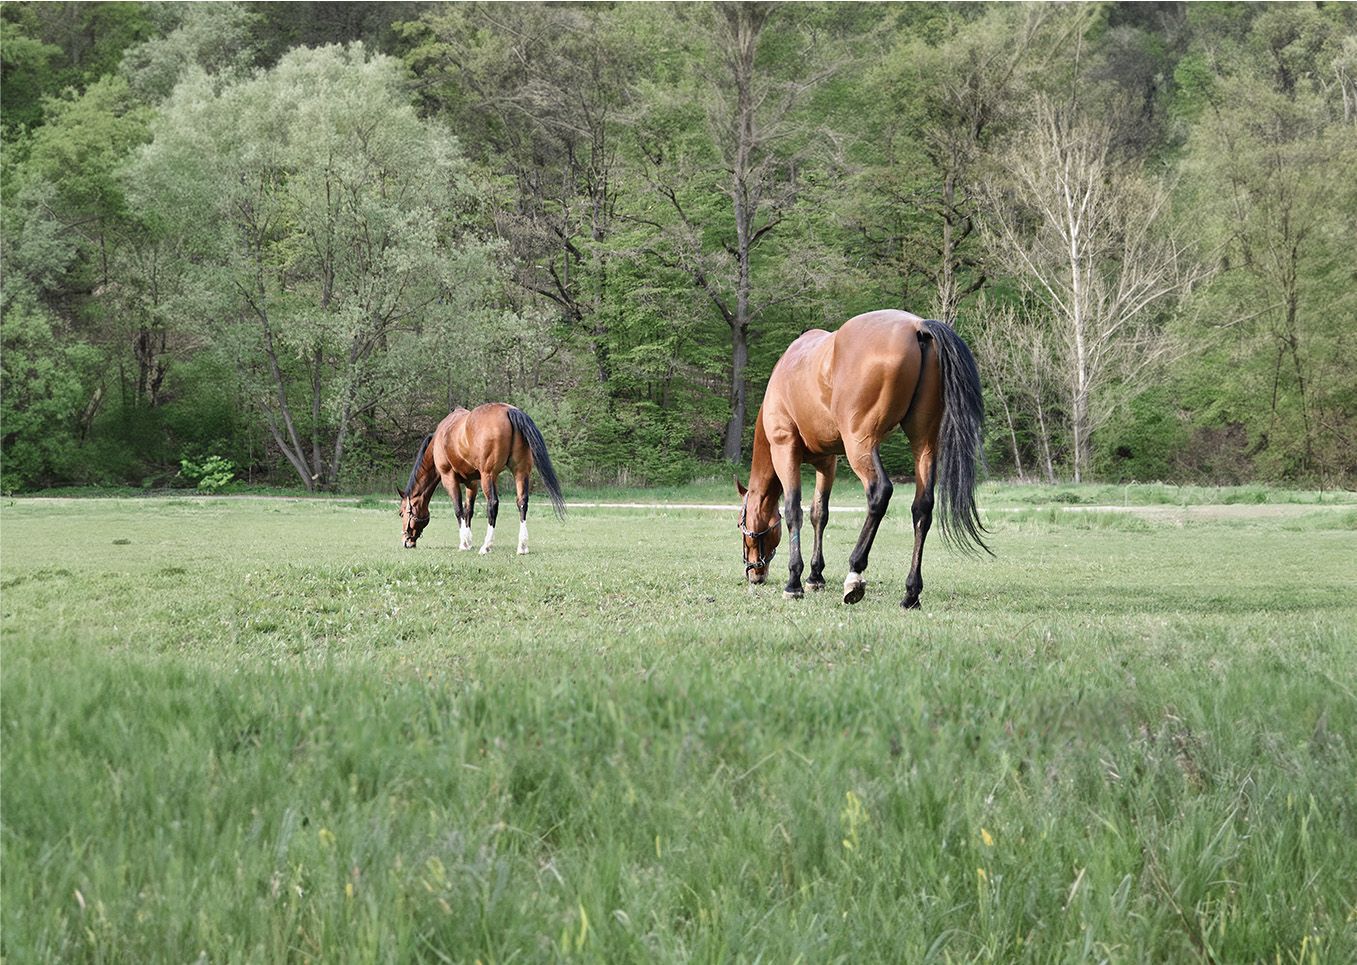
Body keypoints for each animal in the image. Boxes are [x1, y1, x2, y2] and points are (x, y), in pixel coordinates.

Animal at [398, 403, 566, 554]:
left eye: (401, 513)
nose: (406, 542)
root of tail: (508, 410)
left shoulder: (449, 478)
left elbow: (458, 509)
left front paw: (464, 543)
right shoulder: (472, 483)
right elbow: (468, 510)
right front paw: (468, 540)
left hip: (488, 475)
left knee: (492, 504)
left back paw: (486, 546)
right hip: (520, 472)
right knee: (522, 503)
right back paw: (522, 547)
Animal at [735, 309, 989, 609]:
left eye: (740, 525)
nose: (754, 573)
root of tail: (918, 327)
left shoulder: (785, 449)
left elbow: (794, 511)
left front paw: (794, 581)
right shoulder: (827, 462)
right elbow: (819, 514)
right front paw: (815, 576)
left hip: (861, 444)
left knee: (880, 492)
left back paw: (855, 573)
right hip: (924, 444)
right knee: (922, 508)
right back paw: (910, 593)